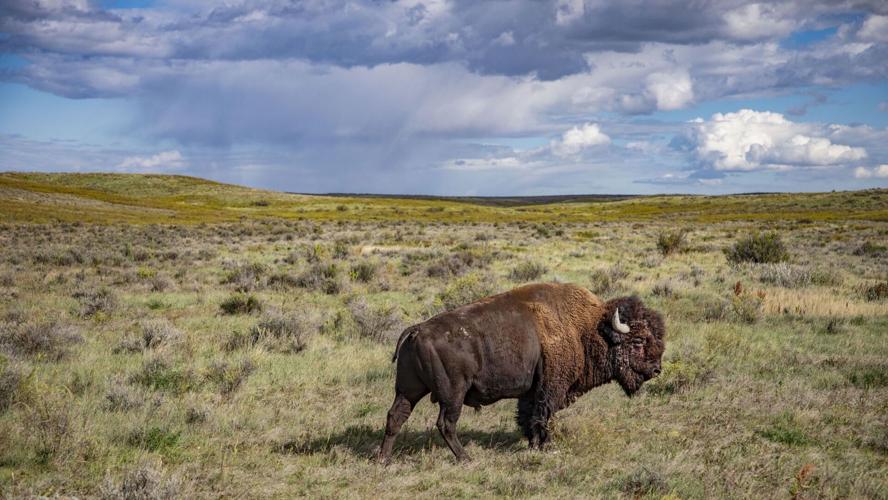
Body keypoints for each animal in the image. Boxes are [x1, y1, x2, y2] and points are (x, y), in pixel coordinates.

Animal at [377, 282, 665, 463]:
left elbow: (528, 416)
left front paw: (532, 444)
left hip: (409, 390)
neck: (587, 329)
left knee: (395, 417)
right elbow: (543, 416)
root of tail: (417, 329)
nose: (656, 369)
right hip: (452, 394)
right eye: (638, 341)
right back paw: (465, 458)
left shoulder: (530, 391)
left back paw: (384, 460)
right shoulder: (550, 390)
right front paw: (545, 446)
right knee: (445, 423)